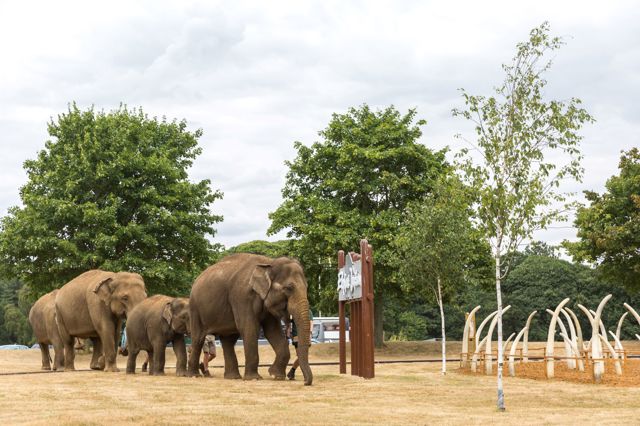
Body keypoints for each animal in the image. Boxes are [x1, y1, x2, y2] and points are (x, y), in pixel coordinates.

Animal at [186, 253, 314, 386]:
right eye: (289, 288)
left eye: (306, 287)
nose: (305, 382)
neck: (269, 263)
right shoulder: (242, 297)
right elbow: (249, 328)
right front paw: (254, 378)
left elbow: (272, 331)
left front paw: (276, 375)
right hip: (195, 309)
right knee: (198, 339)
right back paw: (194, 375)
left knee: (228, 340)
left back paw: (233, 377)